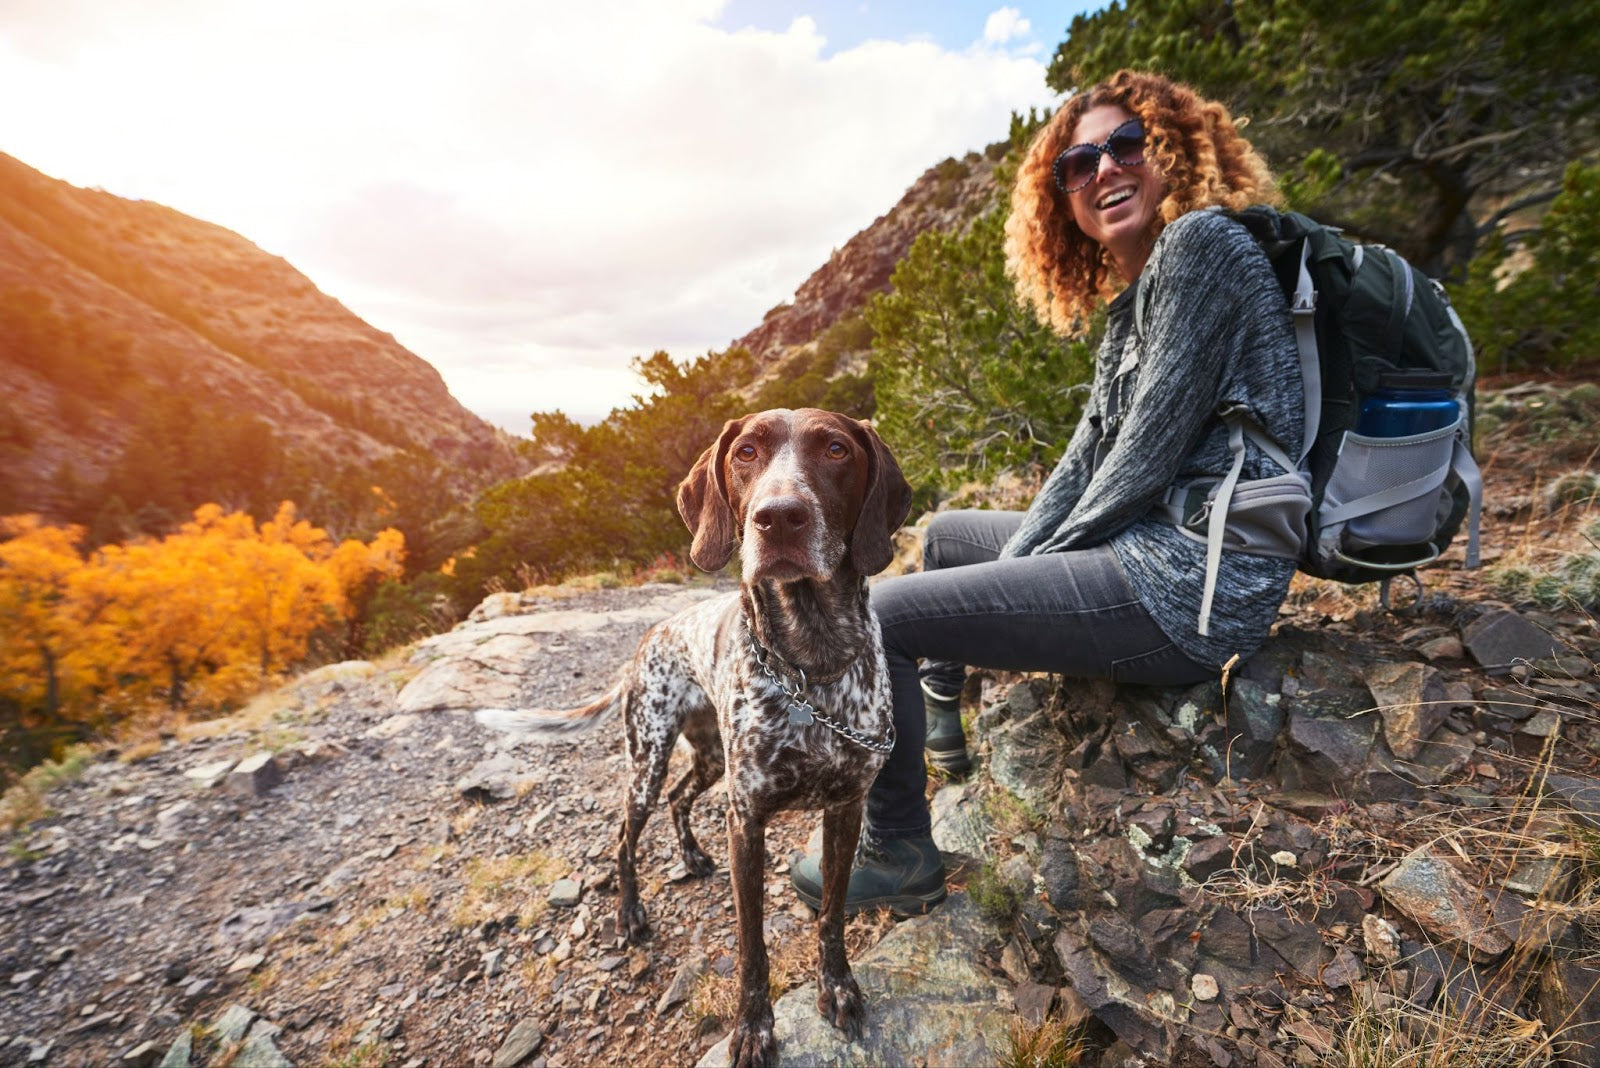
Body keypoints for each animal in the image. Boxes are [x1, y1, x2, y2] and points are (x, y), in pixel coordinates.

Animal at [473, 404, 915, 1061]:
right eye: (746, 452)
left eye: (836, 449)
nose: (778, 518)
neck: (810, 668)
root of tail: (649, 639)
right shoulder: (746, 820)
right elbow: (752, 947)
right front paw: (753, 1028)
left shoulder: (846, 809)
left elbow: (832, 915)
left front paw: (837, 987)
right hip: (648, 760)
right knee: (624, 839)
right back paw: (629, 913)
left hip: (707, 761)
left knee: (681, 800)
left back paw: (688, 853)